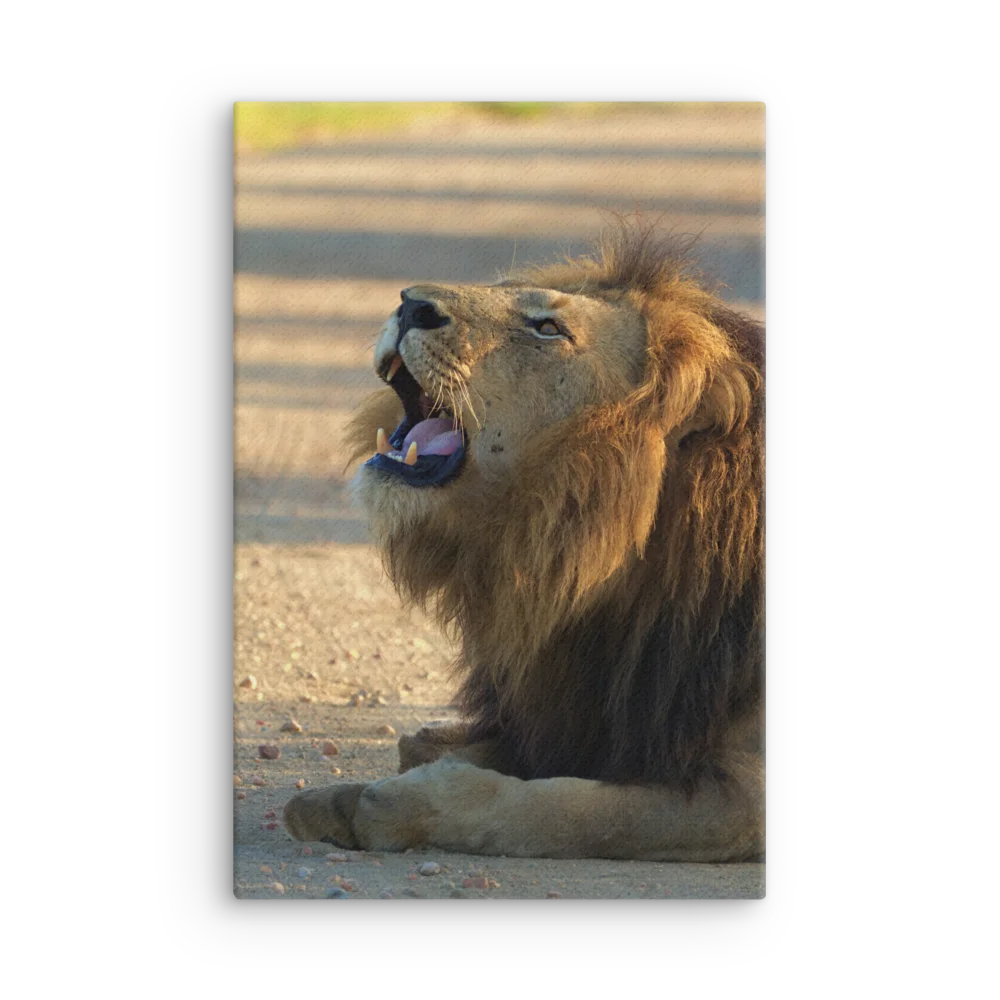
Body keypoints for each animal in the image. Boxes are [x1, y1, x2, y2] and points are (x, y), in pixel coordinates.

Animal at [283, 217, 765, 862]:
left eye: (547, 328)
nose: (409, 305)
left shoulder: (740, 795)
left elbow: (566, 810)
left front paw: (405, 805)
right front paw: (337, 798)